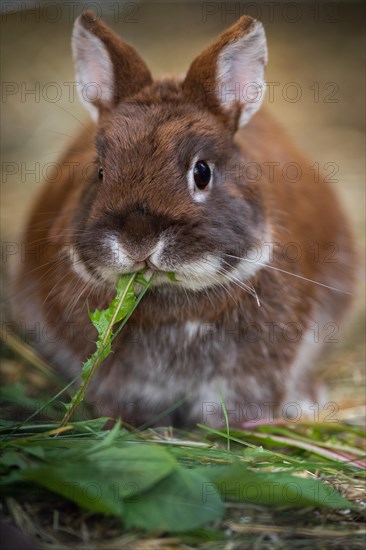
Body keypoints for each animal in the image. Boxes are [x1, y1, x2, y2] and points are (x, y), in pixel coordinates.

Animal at [10, 10, 354, 430]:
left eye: (201, 172)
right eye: (100, 171)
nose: (138, 241)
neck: (173, 298)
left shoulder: (252, 373)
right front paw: (148, 430)